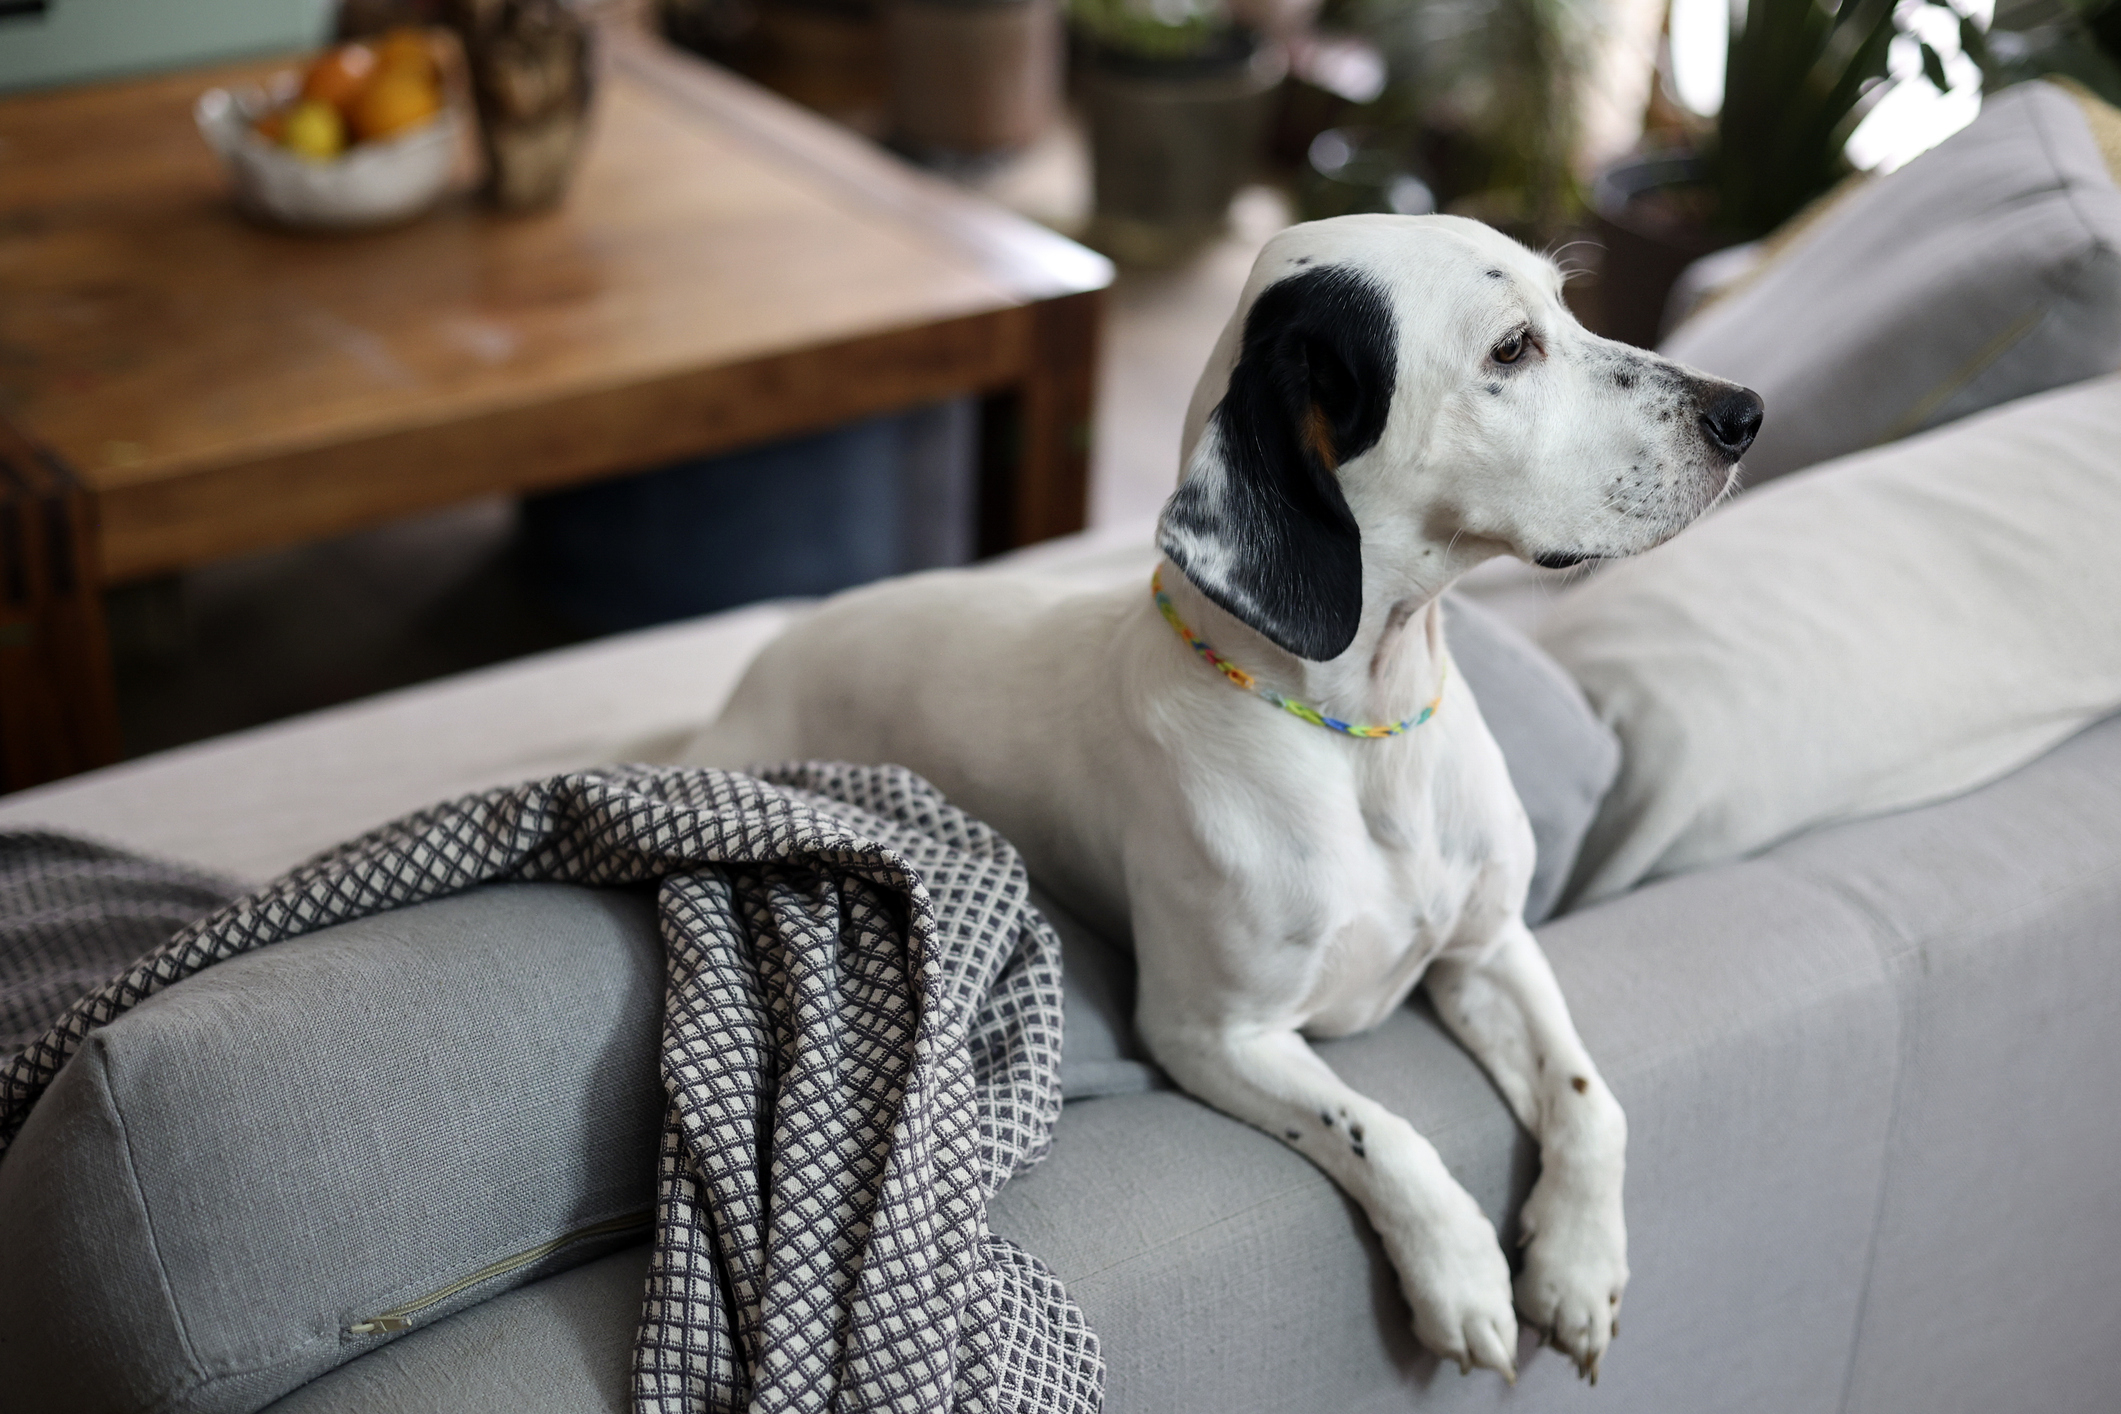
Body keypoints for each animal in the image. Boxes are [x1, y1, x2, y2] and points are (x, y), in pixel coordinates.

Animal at [678, 216, 1756, 1390]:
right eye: (1512, 348)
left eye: (1567, 305)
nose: (1744, 412)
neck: (1361, 740)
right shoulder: (1208, 1033)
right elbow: (1381, 1128)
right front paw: (1462, 1269)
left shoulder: (1489, 947)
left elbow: (1588, 1096)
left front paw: (1576, 1260)